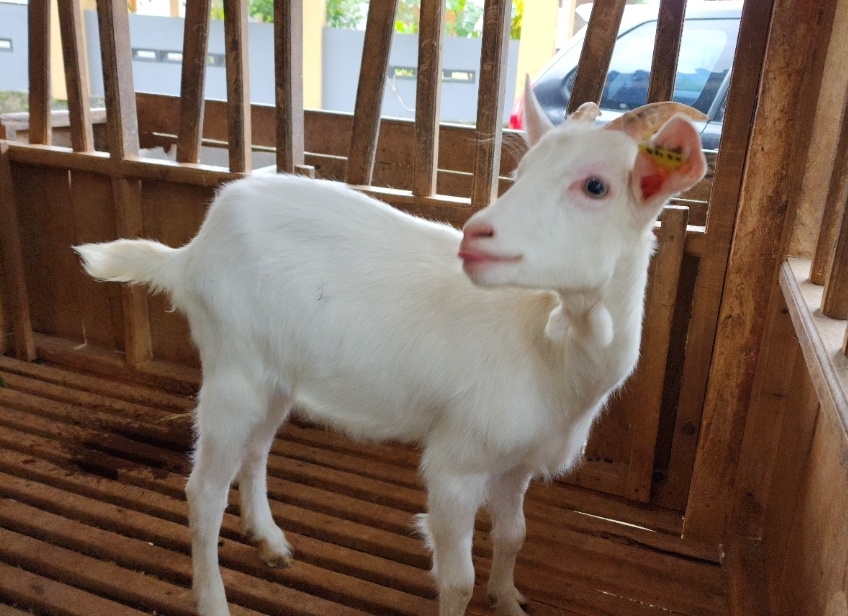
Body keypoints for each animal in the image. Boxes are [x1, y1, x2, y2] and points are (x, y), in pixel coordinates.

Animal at [74, 83, 706, 616]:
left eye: (596, 186)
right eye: (521, 173)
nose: (477, 234)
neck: (551, 350)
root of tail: (190, 254)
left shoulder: (518, 461)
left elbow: (514, 536)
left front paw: (509, 599)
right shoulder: (457, 463)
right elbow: (458, 581)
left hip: (275, 374)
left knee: (254, 452)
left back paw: (270, 540)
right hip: (234, 367)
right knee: (203, 492)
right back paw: (212, 599)